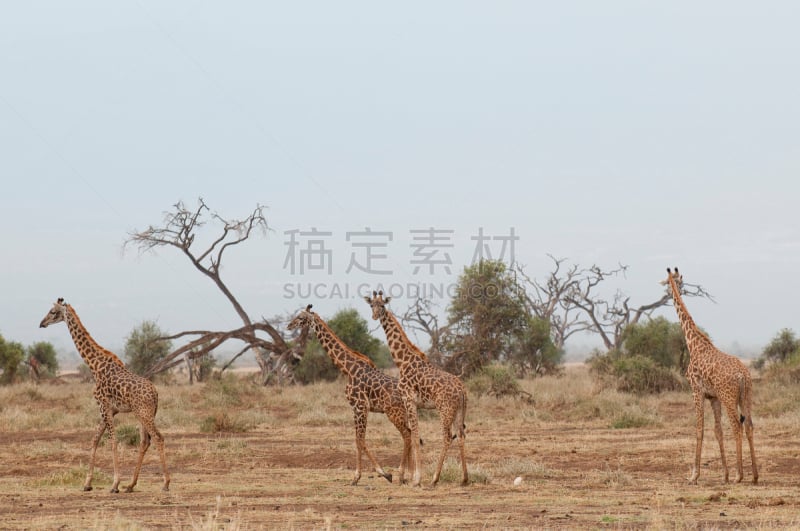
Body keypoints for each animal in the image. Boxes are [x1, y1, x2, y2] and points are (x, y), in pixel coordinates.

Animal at [40, 300, 169, 494]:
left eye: (53, 312)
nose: (42, 323)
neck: (95, 365)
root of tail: (155, 393)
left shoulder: (103, 405)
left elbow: (112, 441)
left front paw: (114, 484)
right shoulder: (111, 409)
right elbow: (95, 439)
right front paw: (87, 483)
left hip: (144, 413)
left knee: (158, 438)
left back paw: (165, 483)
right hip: (143, 414)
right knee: (145, 441)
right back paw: (131, 485)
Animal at [288, 304, 416, 486]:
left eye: (300, 317)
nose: (289, 326)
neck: (347, 369)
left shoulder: (359, 406)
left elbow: (359, 440)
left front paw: (366, 476)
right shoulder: (357, 408)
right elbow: (358, 440)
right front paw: (377, 474)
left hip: (393, 412)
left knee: (407, 435)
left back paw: (401, 475)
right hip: (402, 412)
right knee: (411, 434)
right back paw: (410, 476)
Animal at [364, 294, 468, 488]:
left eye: (382, 305)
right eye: (371, 305)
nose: (374, 316)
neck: (402, 361)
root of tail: (463, 390)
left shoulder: (409, 400)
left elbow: (414, 436)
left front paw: (416, 479)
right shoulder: (414, 404)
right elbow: (414, 435)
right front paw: (412, 477)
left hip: (445, 409)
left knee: (447, 437)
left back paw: (434, 479)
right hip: (459, 410)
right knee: (461, 435)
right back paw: (465, 479)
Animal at [664, 268, 756, 484]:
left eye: (667, 282)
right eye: (679, 281)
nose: (666, 291)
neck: (694, 344)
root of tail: (743, 375)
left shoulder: (696, 391)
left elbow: (700, 429)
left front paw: (694, 475)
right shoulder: (713, 397)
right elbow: (717, 431)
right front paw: (724, 474)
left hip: (729, 398)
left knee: (737, 426)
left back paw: (740, 476)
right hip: (745, 396)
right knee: (749, 425)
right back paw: (755, 475)